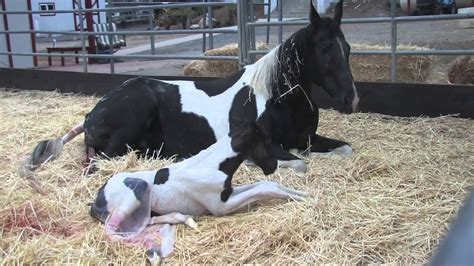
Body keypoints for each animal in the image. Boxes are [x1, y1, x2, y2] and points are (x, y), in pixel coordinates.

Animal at [21, 0, 356, 179]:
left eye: (348, 47)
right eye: (325, 48)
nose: (351, 99)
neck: (276, 99)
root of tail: (92, 115)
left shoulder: (306, 140)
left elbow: (346, 149)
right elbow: (300, 164)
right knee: (96, 160)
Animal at [91, 122, 308, 260]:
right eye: (267, 141)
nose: (273, 166)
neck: (213, 165)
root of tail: (97, 199)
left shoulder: (228, 193)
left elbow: (263, 185)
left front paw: (303, 195)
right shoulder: (220, 206)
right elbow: (265, 186)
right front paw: (303, 197)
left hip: (144, 209)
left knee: (145, 224)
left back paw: (179, 225)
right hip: (137, 190)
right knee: (113, 229)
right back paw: (154, 252)